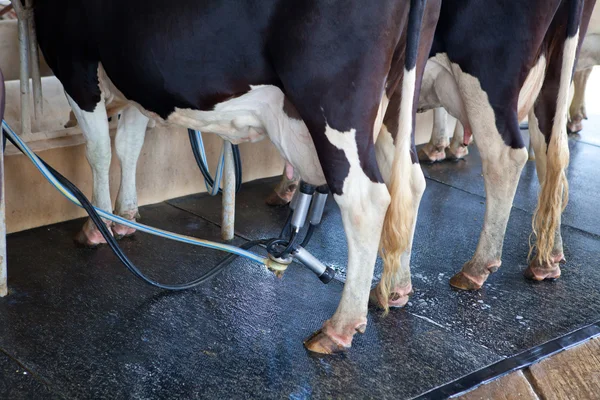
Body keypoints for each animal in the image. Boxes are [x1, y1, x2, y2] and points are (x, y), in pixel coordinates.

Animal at [35, 0, 442, 354]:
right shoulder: (135, 80)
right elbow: (129, 146)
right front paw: (124, 218)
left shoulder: (73, 62)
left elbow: (99, 151)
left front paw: (98, 224)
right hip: (399, 91)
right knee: (410, 183)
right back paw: (396, 289)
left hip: (335, 103)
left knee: (366, 201)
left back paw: (338, 327)